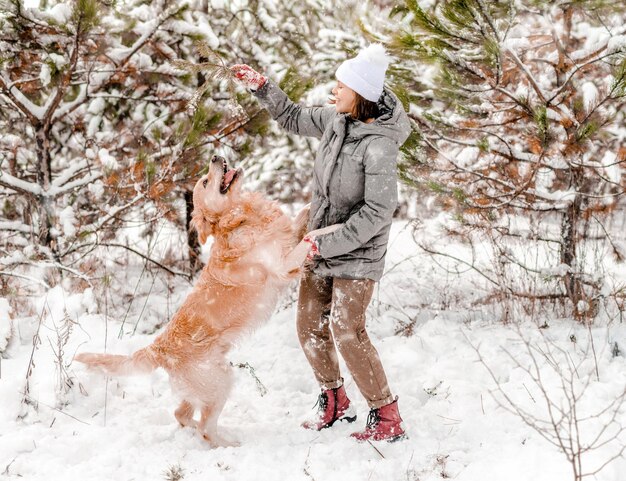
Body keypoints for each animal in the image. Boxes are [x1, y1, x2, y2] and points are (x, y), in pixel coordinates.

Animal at [75, 156, 338, 448]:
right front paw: (338, 226)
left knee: (181, 414)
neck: (238, 217)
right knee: (204, 427)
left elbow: (302, 216)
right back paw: (229, 444)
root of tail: (159, 347)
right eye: (204, 181)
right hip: (220, 381)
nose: (215, 157)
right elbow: (313, 234)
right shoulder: (282, 266)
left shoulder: (286, 238)